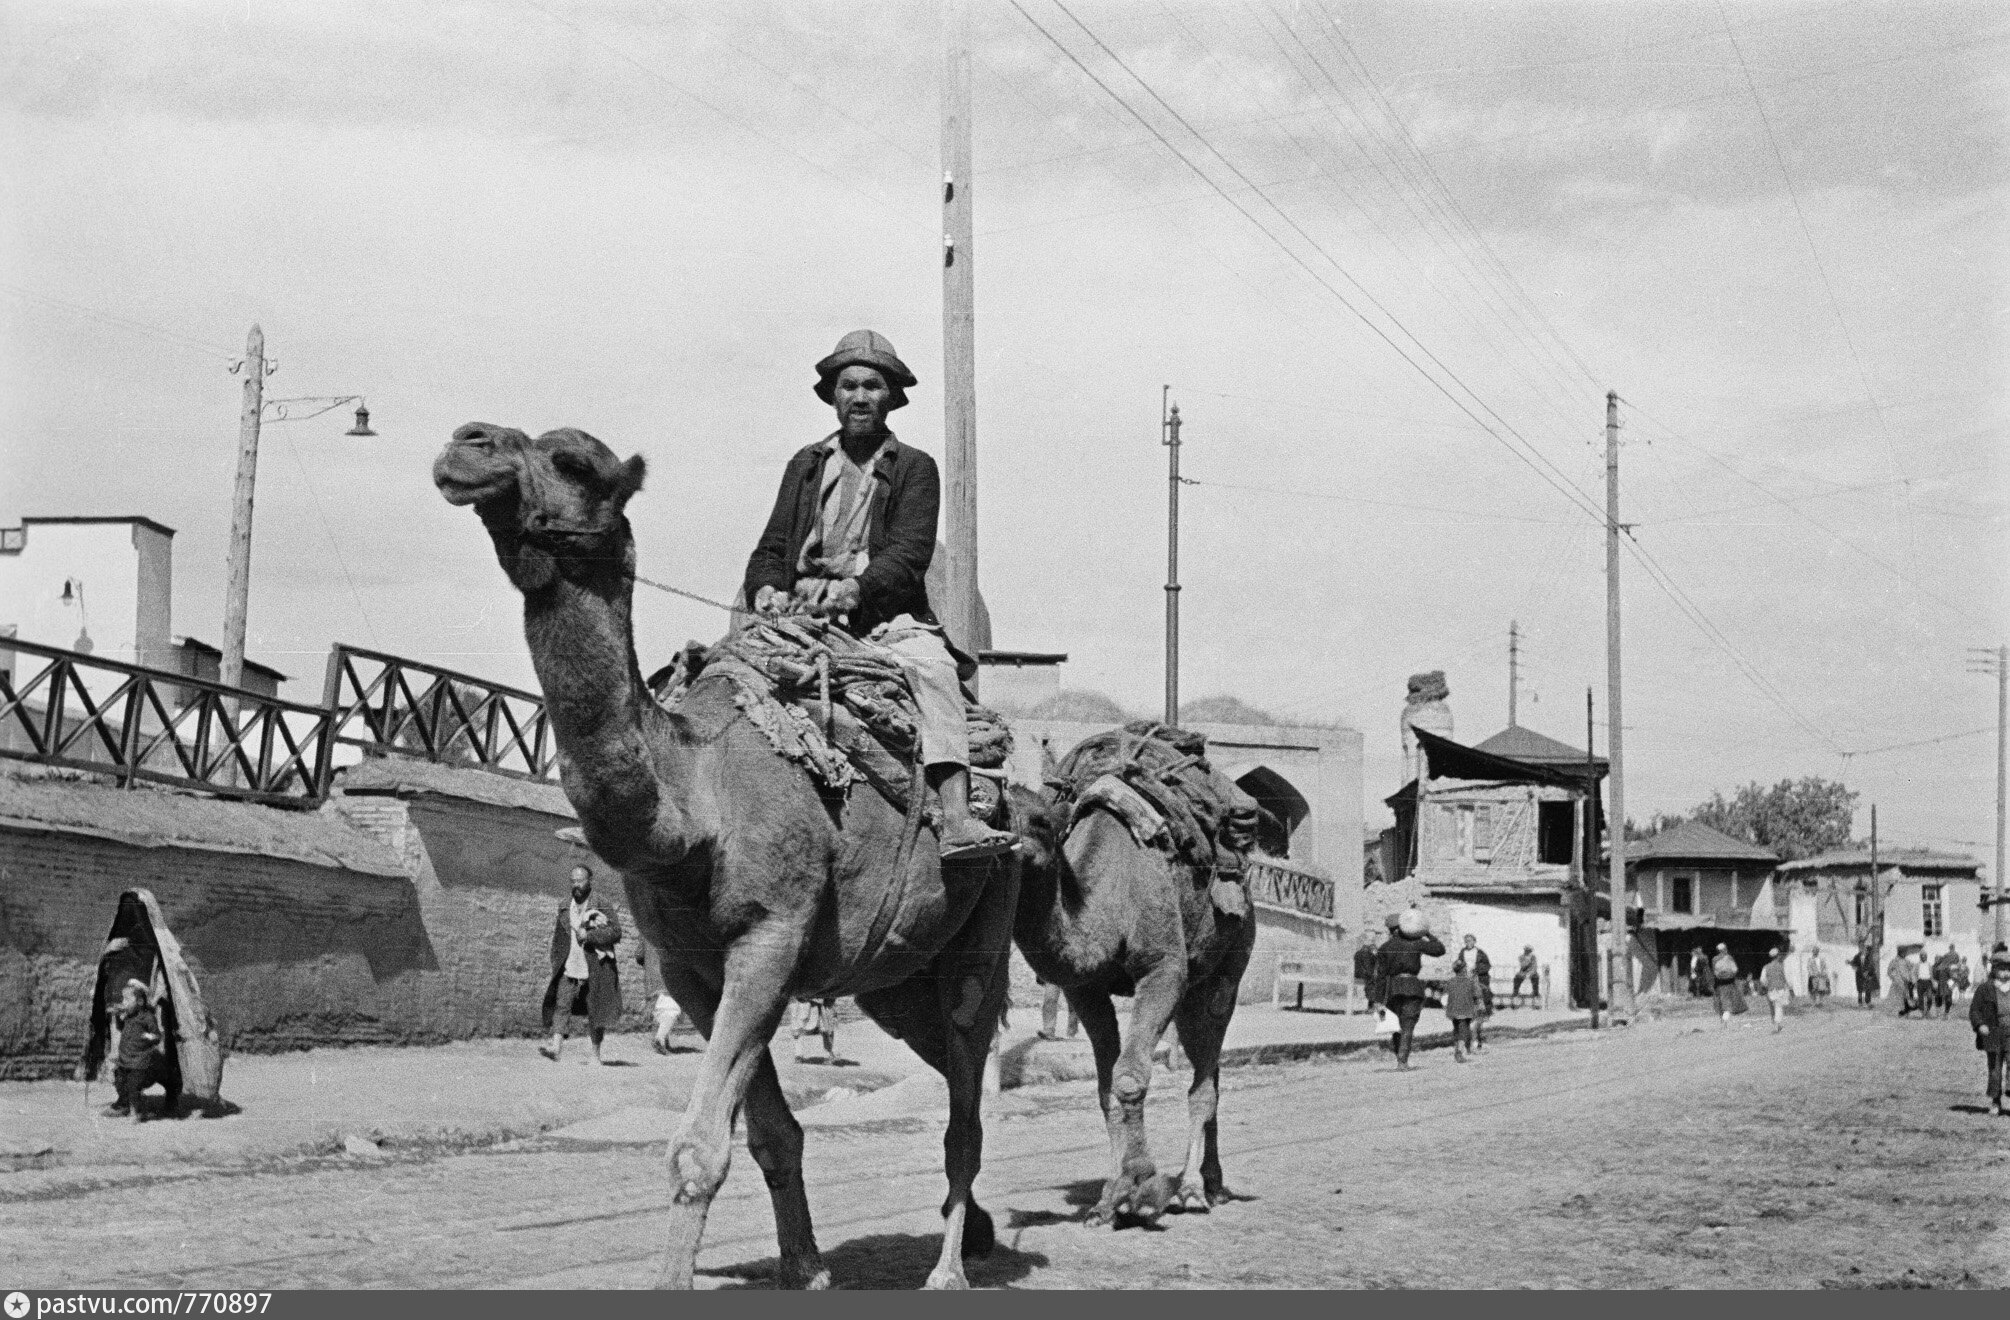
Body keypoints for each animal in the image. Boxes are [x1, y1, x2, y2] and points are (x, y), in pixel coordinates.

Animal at [428, 421, 1021, 1285]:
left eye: (574, 462)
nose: (465, 444)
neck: (694, 804)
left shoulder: (770, 939)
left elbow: (699, 1150)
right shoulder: (691, 968)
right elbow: (773, 1133)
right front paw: (805, 1268)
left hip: (985, 923)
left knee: (968, 1098)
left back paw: (948, 1270)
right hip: (896, 978)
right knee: (949, 1071)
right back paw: (975, 1231)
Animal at [1021, 783, 1254, 1221]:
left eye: (1040, 820)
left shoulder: (1163, 969)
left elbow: (1128, 1079)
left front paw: (1144, 1185)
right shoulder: (1085, 990)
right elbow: (1106, 1089)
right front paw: (1109, 1199)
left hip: (1229, 968)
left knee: (1204, 1083)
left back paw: (1192, 1189)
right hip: (1192, 994)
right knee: (1209, 1069)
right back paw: (1212, 1182)